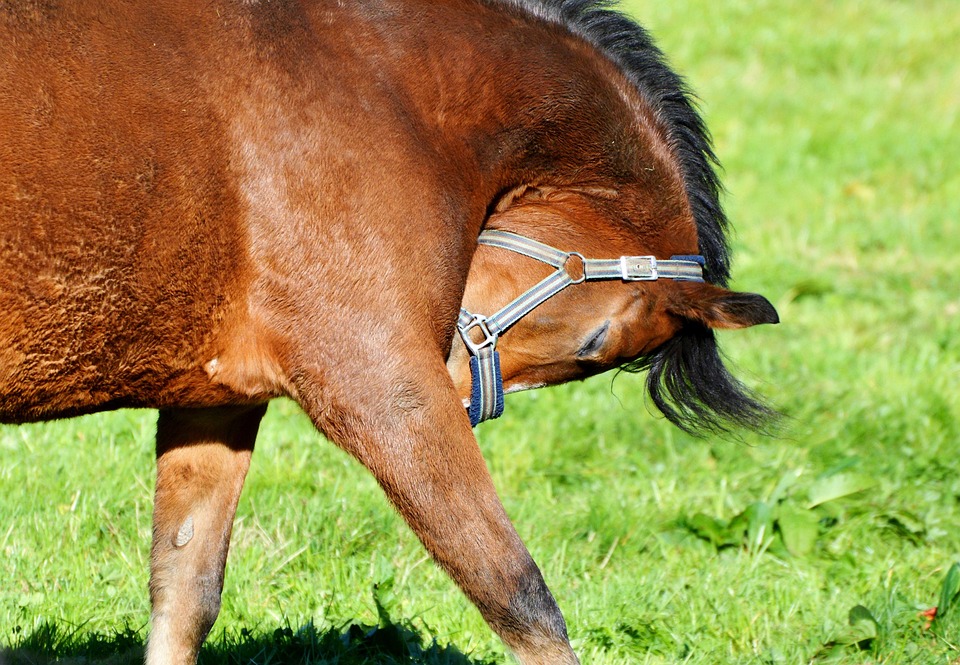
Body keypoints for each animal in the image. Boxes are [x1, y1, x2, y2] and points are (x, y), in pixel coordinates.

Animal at [0, 1, 778, 663]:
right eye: (596, 341)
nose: (464, 391)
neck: (391, 92)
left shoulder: (215, 401)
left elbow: (183, 591)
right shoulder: (384, 388)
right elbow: (518, 595)